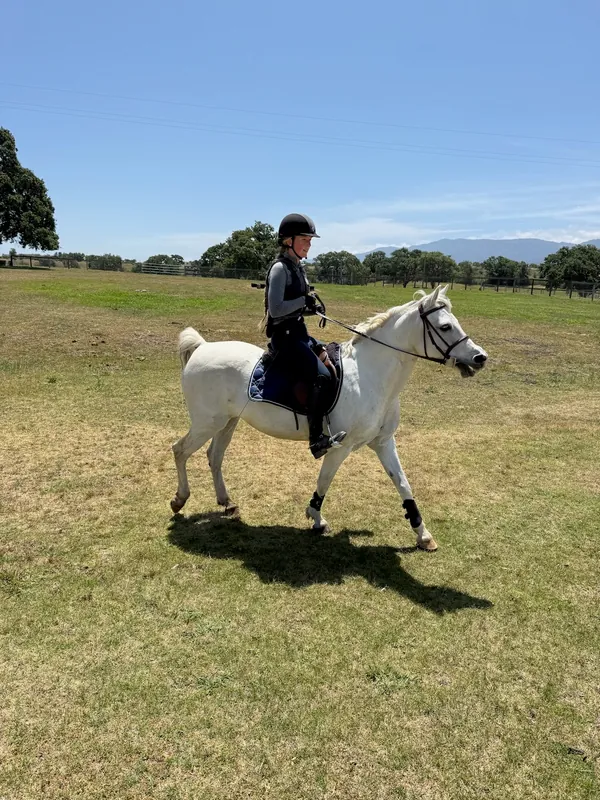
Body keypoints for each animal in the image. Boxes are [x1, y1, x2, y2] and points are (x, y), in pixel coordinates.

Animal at [170, 285, 488, 551]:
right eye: (445, 326)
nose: (479, 357)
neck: (371, 375)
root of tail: (202, 347)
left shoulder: (384, 442)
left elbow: (403, 485)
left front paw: (423, 535)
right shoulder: (340, 446)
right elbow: (325, 480)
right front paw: (316, 517)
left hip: (227, 422)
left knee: (214, 456)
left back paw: (226, 503)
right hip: (206, 423)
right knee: (180, 450)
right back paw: (179, 499)